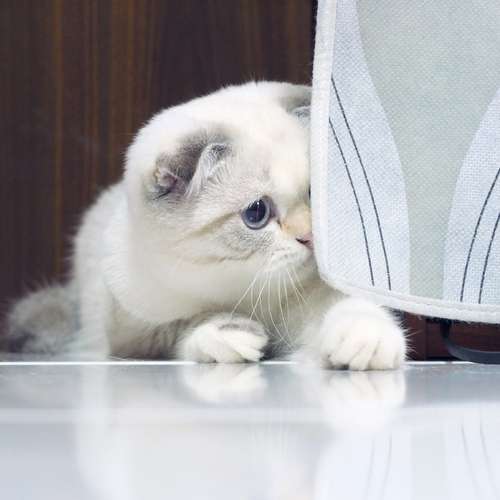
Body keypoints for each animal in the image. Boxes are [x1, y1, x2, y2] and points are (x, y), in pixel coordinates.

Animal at [5, 82, 406, 369]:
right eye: (256, 213)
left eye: (315, 194)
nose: (310, 238)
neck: (251, 290)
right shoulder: (137, 336)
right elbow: (195, 322)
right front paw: (234, 335)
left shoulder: (315, 305)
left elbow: (350, 309)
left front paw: (366, 341)